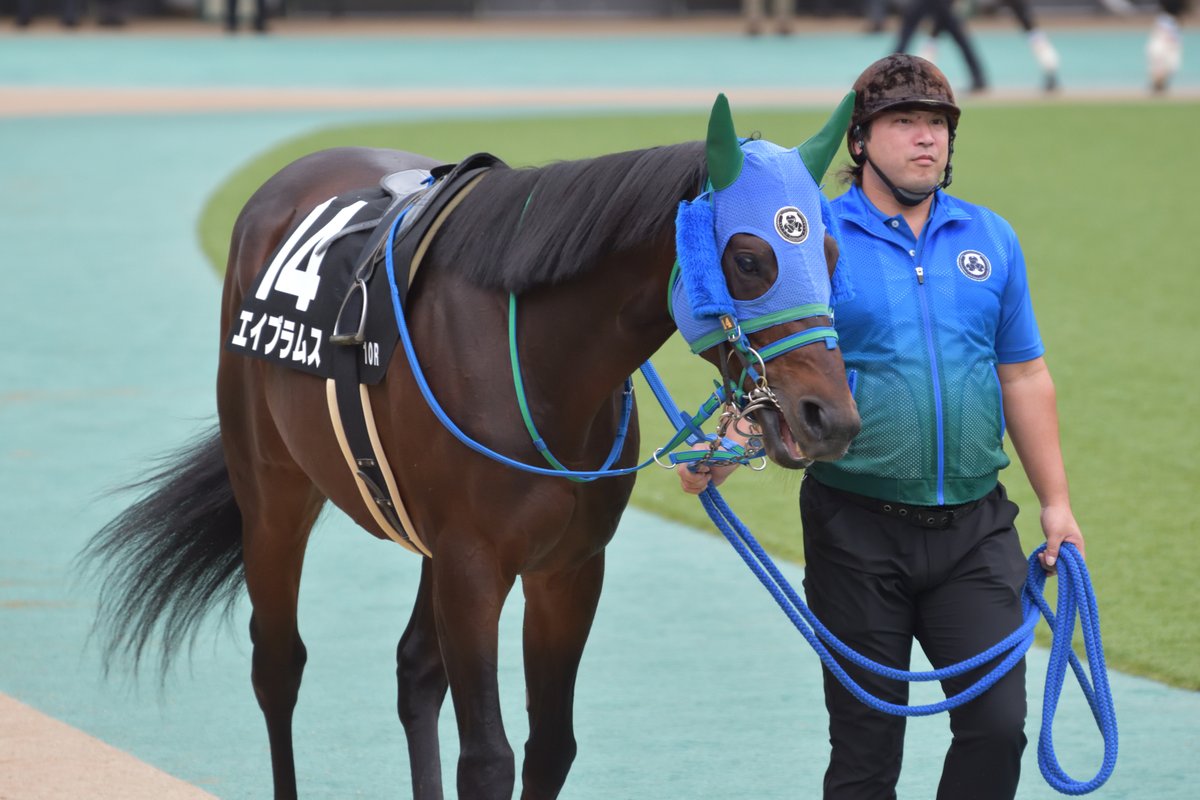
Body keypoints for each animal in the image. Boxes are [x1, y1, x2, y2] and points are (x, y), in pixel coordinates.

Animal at [82, 94, 861, 799]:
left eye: (830, 252)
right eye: (751, 259)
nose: (829, 417)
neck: (538, 361)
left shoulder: (567, 567)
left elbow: (550, 748)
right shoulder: (473, 566)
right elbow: (487, 760)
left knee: (415, 669)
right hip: (273, 493)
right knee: (277, 665)